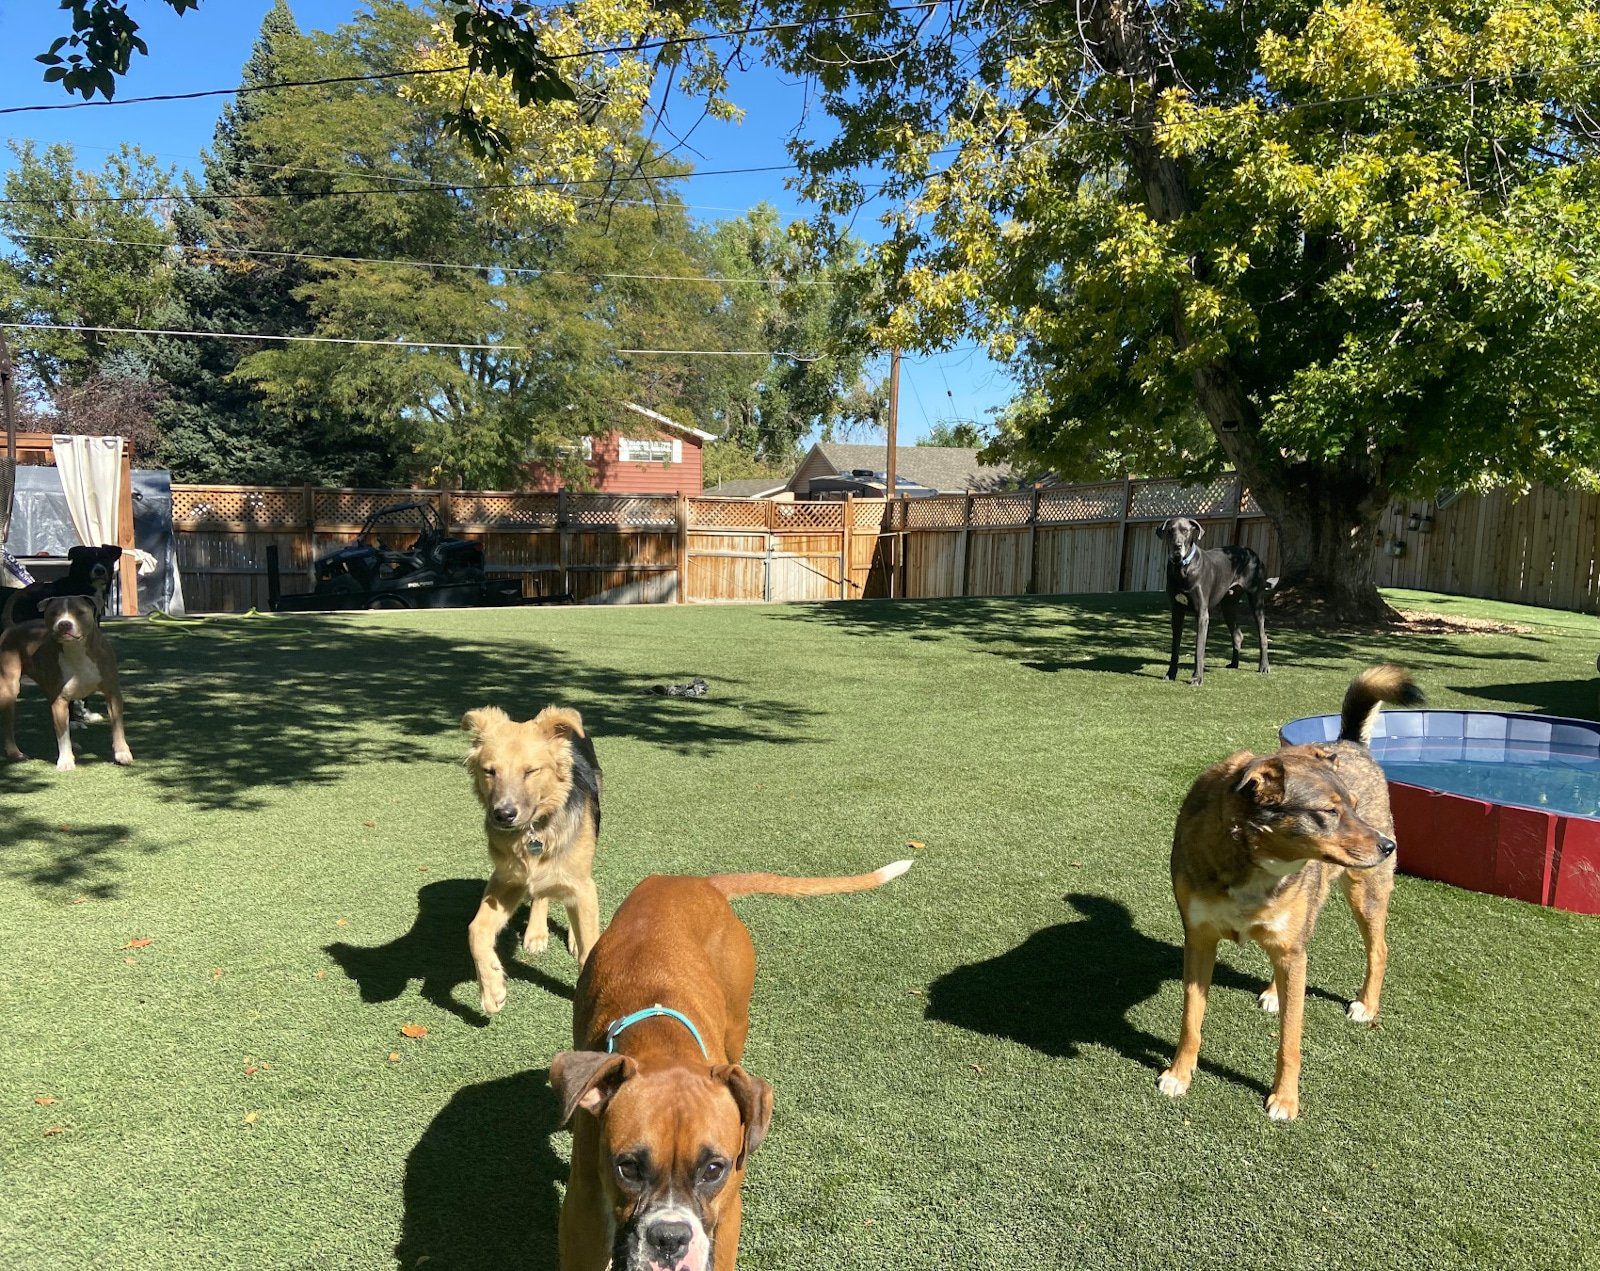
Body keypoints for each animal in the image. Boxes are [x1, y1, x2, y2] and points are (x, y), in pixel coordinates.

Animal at [464, 704, 601, 1011]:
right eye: (489, 771)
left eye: (530, 771)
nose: (503, 815)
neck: (534, 831)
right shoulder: (507, 880)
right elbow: (475, 929)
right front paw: (491, 988)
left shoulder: (582, 885)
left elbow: (590, 948)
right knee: (541, 895)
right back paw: (536, 933)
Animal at [553, 858, 915, 1267]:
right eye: (627, 1167)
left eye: (714, 1169)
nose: (670, 1237)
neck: (661, 1039)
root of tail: (698, 883)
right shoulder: (583, 1212)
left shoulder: (728, 1217)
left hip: (737, 1022)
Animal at [1158, 662, 1420, 1120]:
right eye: (1329, 812)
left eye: (1353, 806)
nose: (1389, 846)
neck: (1252, 858)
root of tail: (1346, 740)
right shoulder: (1199, 940)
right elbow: (1191, 1018)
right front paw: (1180, 1074)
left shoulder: (1290, 946)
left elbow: (1291, 1040)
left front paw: (1285, 1098)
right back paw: (1274, 992)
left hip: (1365, 895)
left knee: (1378, 949)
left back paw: (1366, 1005)